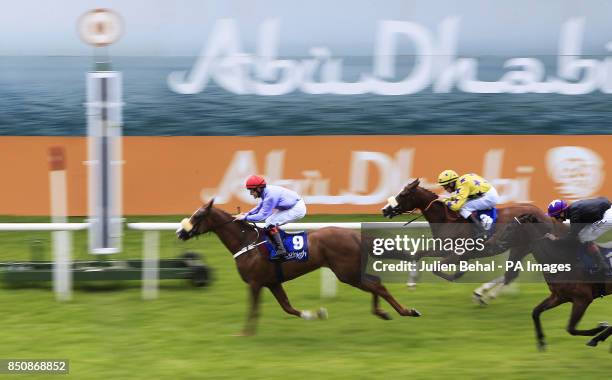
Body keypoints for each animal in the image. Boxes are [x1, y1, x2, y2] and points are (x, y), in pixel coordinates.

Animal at [175, 199, 418, 336]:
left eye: (198, 215)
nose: (180, 232)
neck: (247, 242)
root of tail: (354, 234)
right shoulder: (272, 282)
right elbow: (288, 307)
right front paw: (316, 313)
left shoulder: (255, 283)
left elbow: (253, 309)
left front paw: (245, 334)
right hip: (351, 272)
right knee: (376, 283)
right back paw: (383, 312)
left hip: (346, 273)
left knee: (378, 286)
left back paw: (407, 311)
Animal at [382, 179, 548, 302]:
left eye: (403, 194)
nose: (384, 210)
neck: (447, 220)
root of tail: (542, 213)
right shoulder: (442, 249)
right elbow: (418, 253)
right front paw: (411, 283)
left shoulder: (457, 254)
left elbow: (437, 268)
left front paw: (457, 274)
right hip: (521, 248)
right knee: (511, 274)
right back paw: (483, 294)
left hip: (522, 246)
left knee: (510, 274)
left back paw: (483, 294)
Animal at [494, 214, 608, 350]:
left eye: (509, 227)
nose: (498, 243)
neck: (560, 259)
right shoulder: (558, 297)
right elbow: (535, 312)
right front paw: (541, 341)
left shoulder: (583, 299)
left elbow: (571, 329)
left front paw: (600, 328)